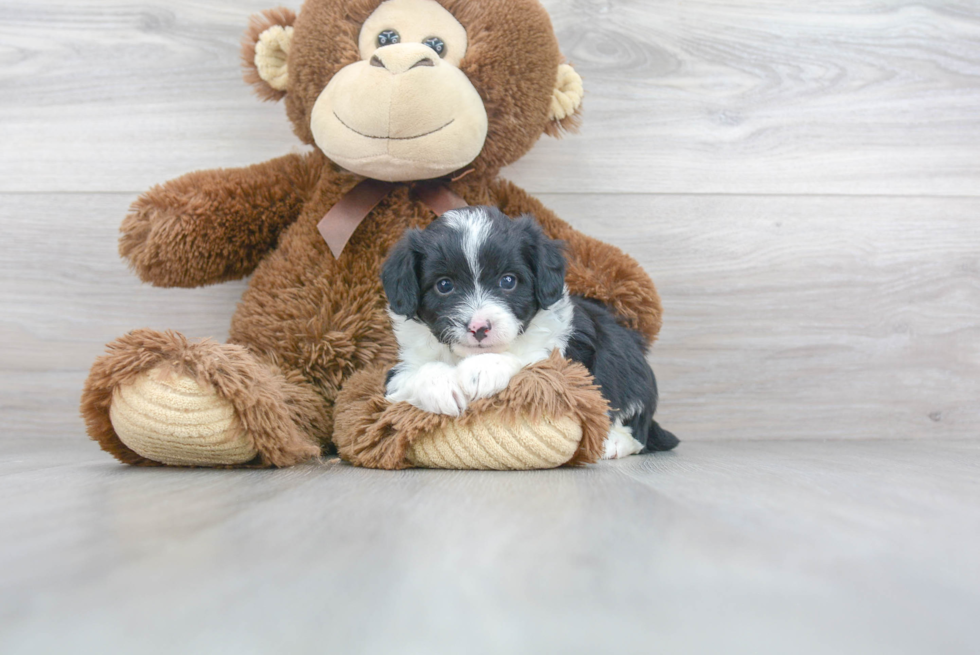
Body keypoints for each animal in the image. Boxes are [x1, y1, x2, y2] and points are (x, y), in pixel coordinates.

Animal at [382, 208, 680, 458]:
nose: (479, 327)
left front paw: (483, 368)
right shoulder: (397, 373)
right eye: (444, 285)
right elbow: (417, 372)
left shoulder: (569, 362)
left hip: (631, 373)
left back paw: (614, 442)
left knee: (638, 427)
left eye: (508, 281)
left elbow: (530, 360)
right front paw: (441, 385)